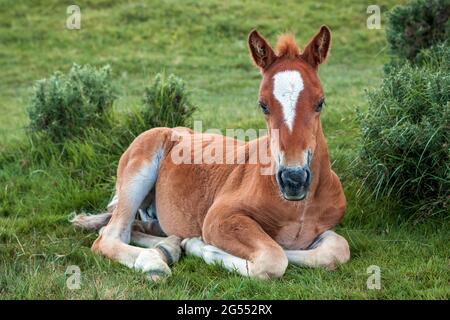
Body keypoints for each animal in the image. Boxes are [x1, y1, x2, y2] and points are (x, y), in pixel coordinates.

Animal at [73, 25, 352, 280]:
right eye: (263, 105)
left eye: (320, 102)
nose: (294, 179)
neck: (297, 206)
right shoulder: (219, 218)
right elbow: (273, 257)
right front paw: (199, 245)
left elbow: (336, 249)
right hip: (137, 173)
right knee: (109, 236)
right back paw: (156, 261)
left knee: (132, 227)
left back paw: (169, 246)